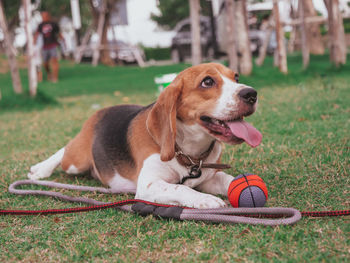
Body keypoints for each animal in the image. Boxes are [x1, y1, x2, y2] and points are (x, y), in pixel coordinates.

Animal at [27, 63, 262, 209]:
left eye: (236, 77)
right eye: (207, 82)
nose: (251, 94)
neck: (186, 152)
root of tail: (99, 112)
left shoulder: (209, 178)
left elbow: (229, 180)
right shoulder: (148, 185)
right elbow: (179, 187)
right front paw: (206, 200)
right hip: (76, 162)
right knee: (64, 151)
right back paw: (40, 169)